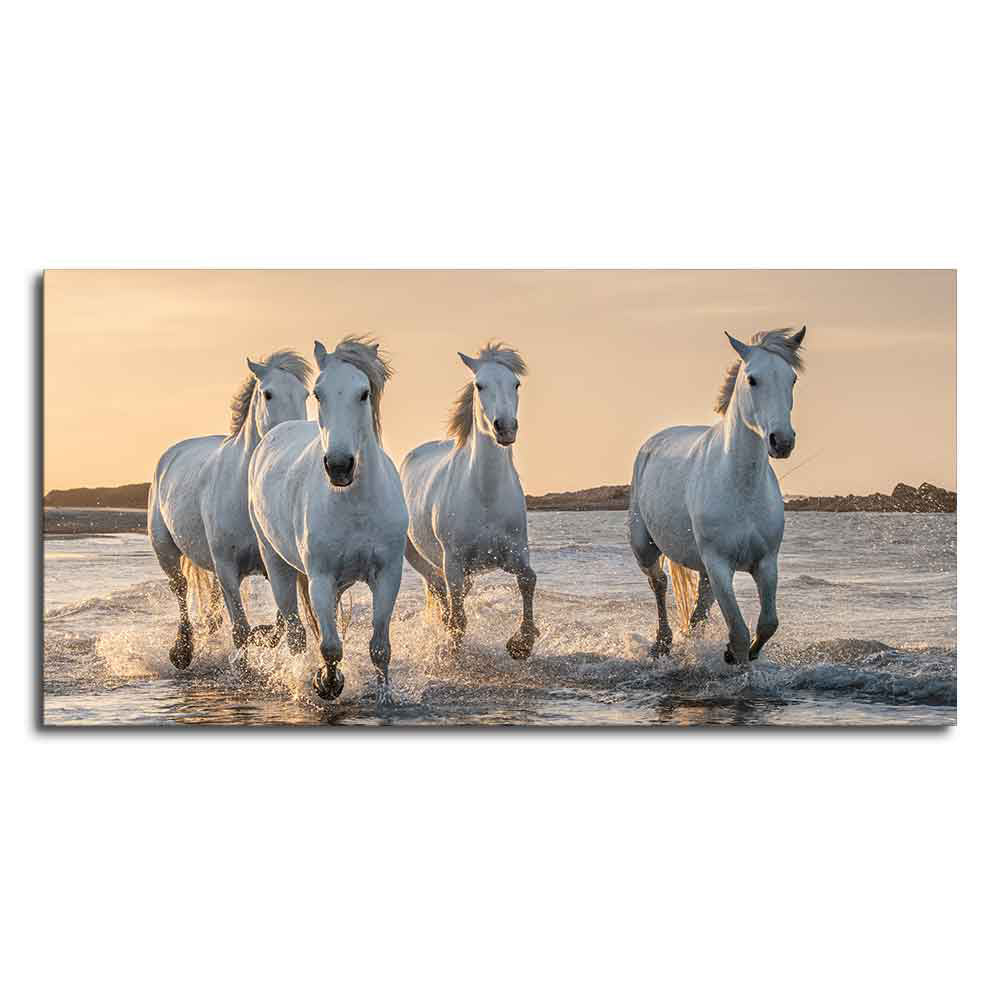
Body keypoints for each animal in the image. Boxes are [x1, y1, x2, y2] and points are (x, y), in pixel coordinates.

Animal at [148, 350, 312, 668]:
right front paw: (244, 666)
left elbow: (279, 623)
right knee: (180, 589)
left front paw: (262, 637)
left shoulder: (274, 565)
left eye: (305, 394)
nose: (292, 436)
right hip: (166, 551)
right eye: (268, 394)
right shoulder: (227, 567)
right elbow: (240, 629)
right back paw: (182, 651)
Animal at [248, 338, 408, 705]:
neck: (355, 504)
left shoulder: (387, 575)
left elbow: (380, 648)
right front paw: (327, 683)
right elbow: (330, 646)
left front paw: (385, 698)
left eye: (364, 393)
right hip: (277, 564)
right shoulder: (320, 577)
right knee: (296, 632)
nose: (338, 466)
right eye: (318, 394)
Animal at [400, 343, 539, 659]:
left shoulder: (515, 553)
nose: (505, 428)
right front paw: (452, 650)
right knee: (440, 592)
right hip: (420, 558)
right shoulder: (453, 561)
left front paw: (521, 643)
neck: (485, 494)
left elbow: (528, 579)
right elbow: (458, 618)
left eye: (516, 383)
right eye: (479, 385)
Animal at [628, 326, 806, 671]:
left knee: (698, 607)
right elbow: (738, 631)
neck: (740, 487)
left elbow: (768, 623)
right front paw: (737, 660)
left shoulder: (766, 562)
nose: (782, 441)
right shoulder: (719, 564)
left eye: (792, 379)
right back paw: (662, 644)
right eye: (752, 379)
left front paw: (738, 654)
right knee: (659, 584)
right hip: (645, 548)